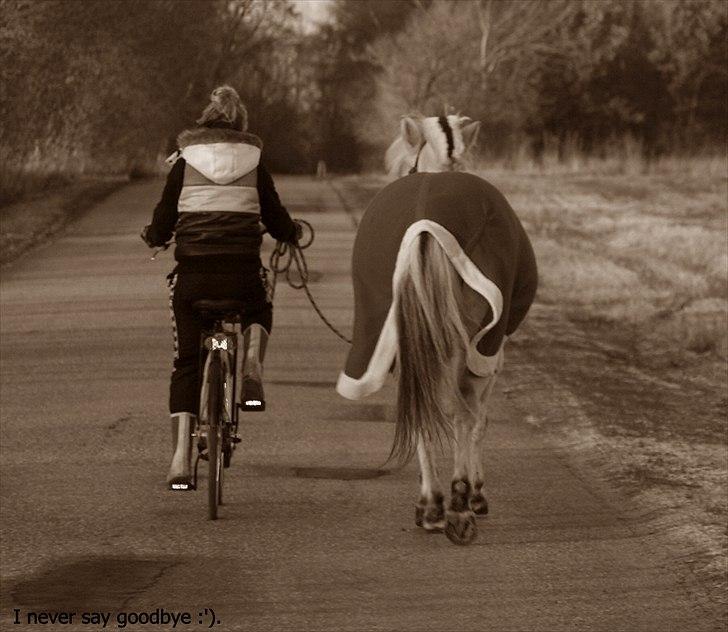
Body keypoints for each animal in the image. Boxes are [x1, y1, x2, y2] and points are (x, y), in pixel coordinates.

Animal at [336, 116, 536, 544]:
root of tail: (424, 226)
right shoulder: (489, 353)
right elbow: (478, 421)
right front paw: (476, 493)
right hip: (470, 345)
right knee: (460, 413)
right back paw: (458, 505)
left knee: (423, 410)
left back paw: (431, 505)